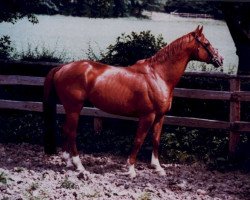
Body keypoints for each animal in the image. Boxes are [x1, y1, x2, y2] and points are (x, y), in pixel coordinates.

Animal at [43, 25, 223, 177]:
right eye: (207, 43)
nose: (220, 59)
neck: (158, 75)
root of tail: (62, 67)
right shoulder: (147, 116)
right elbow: (138, 140)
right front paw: (131, 169)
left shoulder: (160, 116)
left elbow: (156, 139)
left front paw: (157, 167)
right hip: (74, 108)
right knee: (72, 132)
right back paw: (79, 166)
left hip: (70, 109)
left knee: (66, 130)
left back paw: (68, 163)